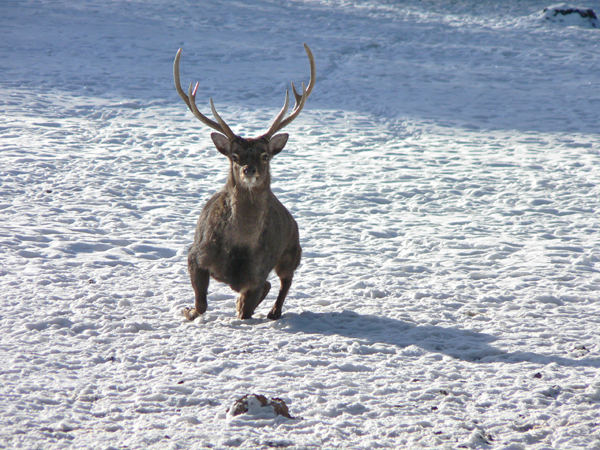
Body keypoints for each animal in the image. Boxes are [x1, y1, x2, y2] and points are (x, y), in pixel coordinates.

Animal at [172, 44, 316, 320]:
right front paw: (187, 310)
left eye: (265, 155)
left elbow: (249, 306)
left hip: (293, 250)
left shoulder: (257, 272)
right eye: (235, 156)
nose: (249, 170)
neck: (237, 248)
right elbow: (201, 303)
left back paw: (274, 311)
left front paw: (241, 307)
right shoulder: (195, 254)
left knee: (284, 280)